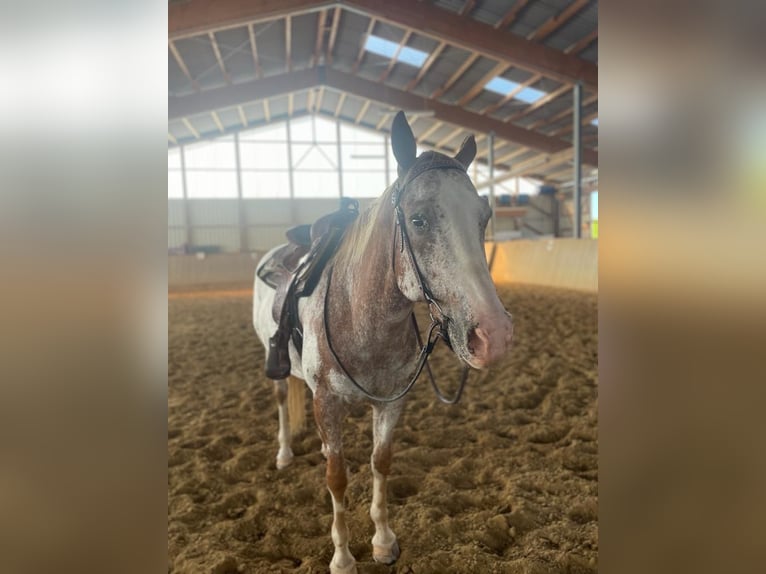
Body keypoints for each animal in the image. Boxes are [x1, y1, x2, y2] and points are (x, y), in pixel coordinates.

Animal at [252, 111, 514, 574]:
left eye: (483, 217)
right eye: (418, 219)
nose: (493, 335)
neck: (361, 314)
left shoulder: (391, 402)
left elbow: (380, 461)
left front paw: (383, 541)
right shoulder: (326, 402)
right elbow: (336, 475)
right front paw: (342, 557)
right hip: (276, 363)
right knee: (283, 400)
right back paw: (283, 454)